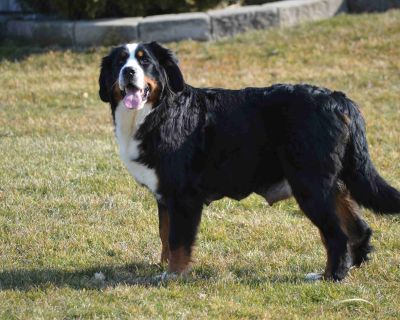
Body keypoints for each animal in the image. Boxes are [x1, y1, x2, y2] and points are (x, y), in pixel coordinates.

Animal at [99, 41, 400, 282]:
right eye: (120, 62)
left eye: (144, 61)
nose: (128, 72)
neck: (157, 114)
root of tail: (339, 100)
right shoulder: (164, 195)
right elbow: (165, 233)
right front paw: (162, 265)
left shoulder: (183, 197)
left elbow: (178, 241)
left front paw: (173, 274)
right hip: (331, 183)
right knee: (359, 228)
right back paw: (352, 267)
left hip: (311, 186)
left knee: (336, 235)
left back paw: (330, 276)